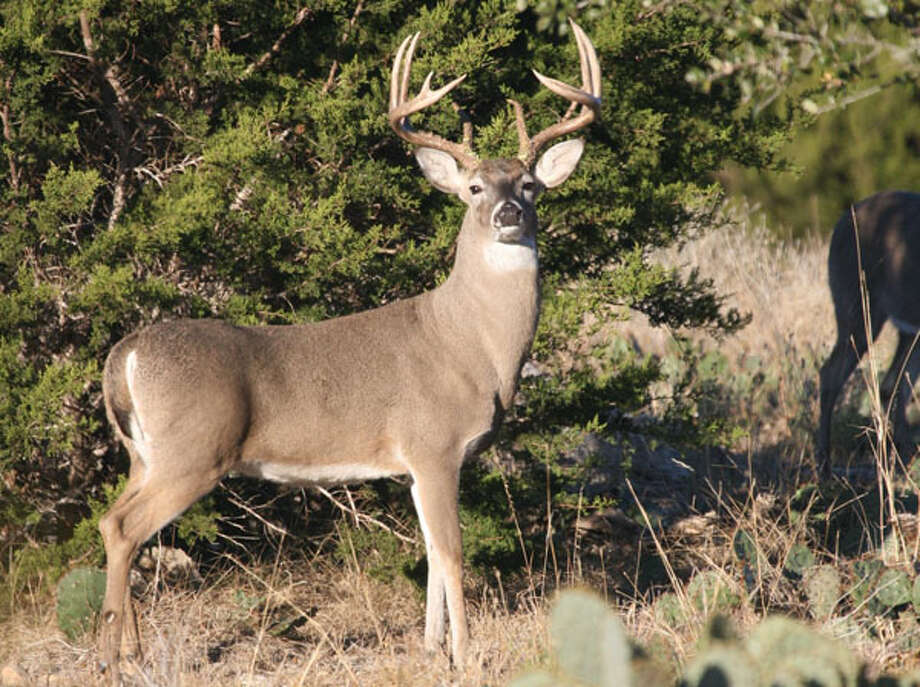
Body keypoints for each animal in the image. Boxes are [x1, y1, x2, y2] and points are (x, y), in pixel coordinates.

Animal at [95, 20, 601, 681]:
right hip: (194, 451)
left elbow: (430, 555)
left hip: (144, 454)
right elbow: (452, 552)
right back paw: (114, 659)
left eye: (532, 184)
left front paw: (430, 649)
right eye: (473, 187)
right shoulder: (435, 444)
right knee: (123, 527)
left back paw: (127, 652)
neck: (472, 345)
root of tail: (123, 355)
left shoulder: (413, 464)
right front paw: (465, 655)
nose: (509, 212)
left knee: (115, 522)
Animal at [817, 190, 920, 478]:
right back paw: (824, 466)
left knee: (892, 384)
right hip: (859, 308)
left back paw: (897, 460)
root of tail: (841, 221)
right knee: (830, 374)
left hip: (905, 325)